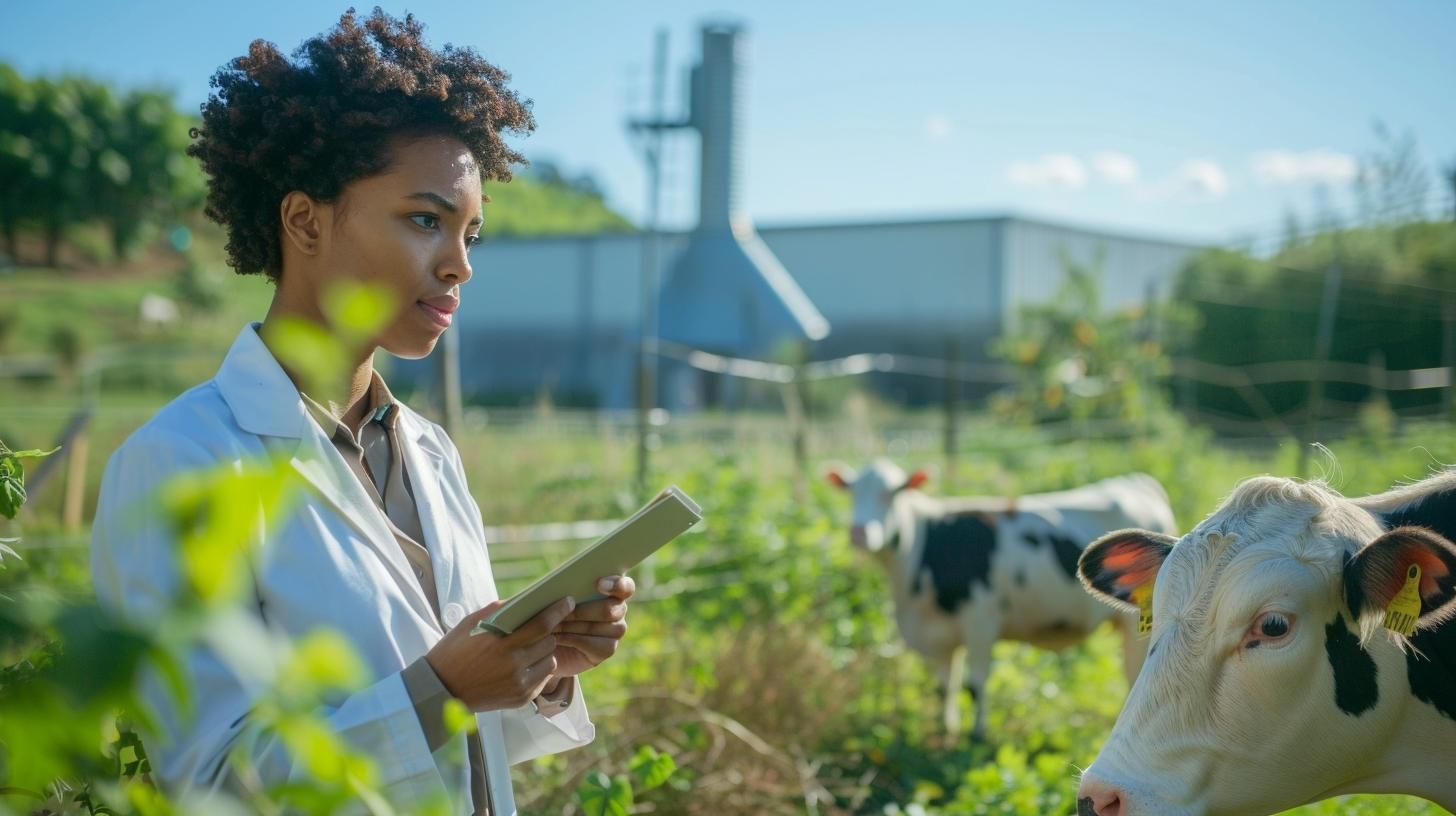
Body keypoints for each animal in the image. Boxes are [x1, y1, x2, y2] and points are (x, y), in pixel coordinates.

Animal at [827, 460, 1176, 740]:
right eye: (852, 492)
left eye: (893, 493)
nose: (859, 532)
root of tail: (1135, 481)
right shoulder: (939, 634)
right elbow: (944, 689)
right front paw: (946, 730)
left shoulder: (981, 620)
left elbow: (975, 684)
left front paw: (977, 736)